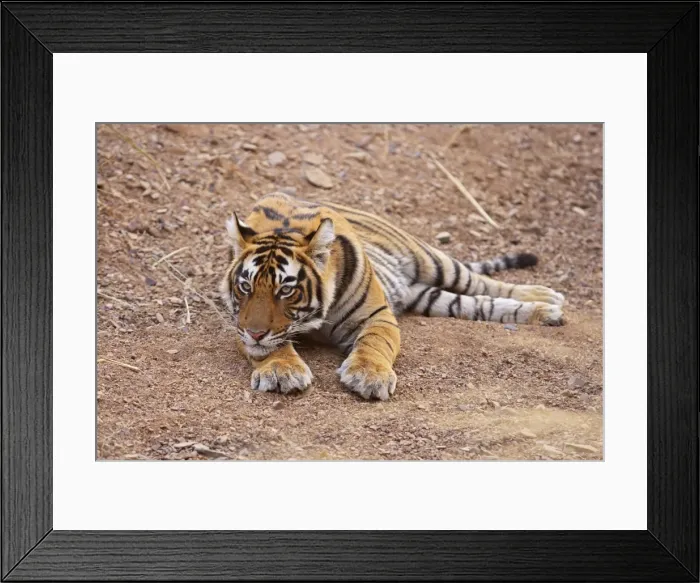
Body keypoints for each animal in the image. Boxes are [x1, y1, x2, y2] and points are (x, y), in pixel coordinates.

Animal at [219, 191, 565, 401]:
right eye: (246, 287)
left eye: (286, 290)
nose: (255, 332)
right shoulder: (238, 320)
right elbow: (270, 347)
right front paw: (282, 372)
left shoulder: (377, 315)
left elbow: (375, 343)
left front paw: (369, 376)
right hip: (430, 296)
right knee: (482, 304)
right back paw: (547, 312)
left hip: (432, 260)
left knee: (482, 283)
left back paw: (547, 296)